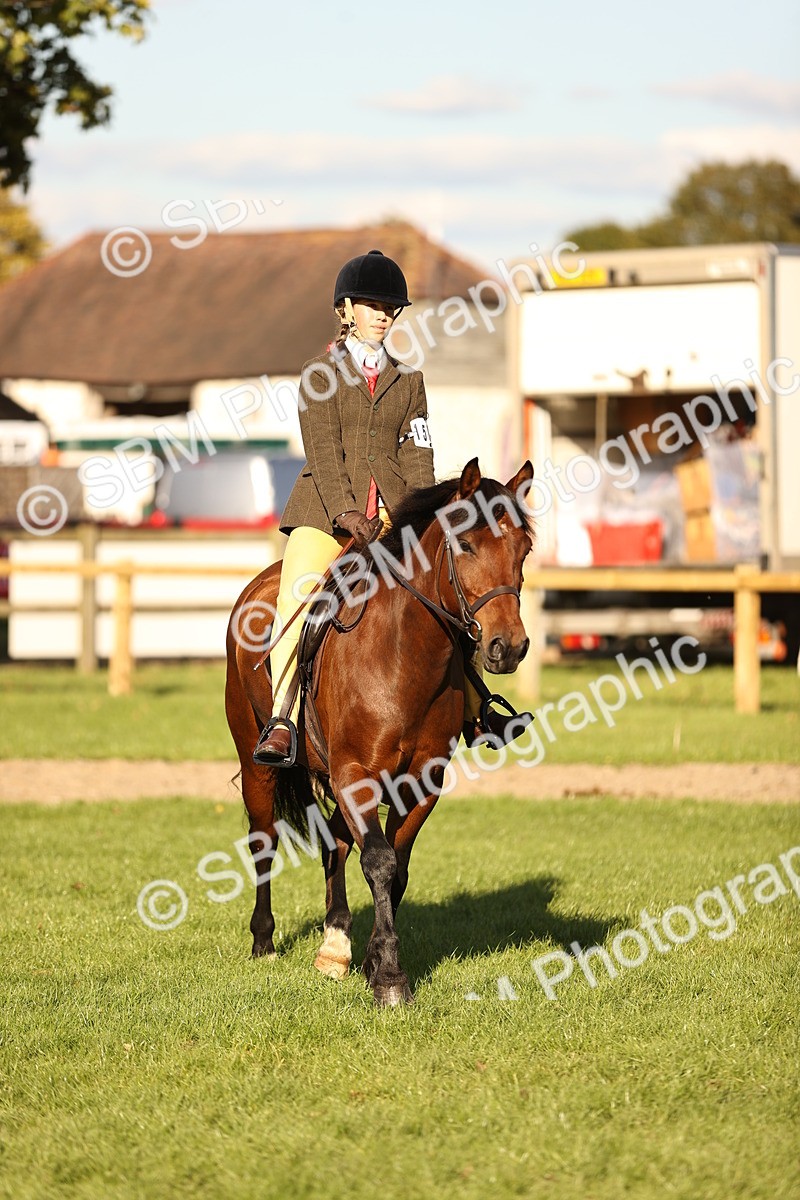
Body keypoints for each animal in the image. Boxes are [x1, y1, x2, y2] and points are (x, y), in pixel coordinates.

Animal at [224, 458, 534, 1006]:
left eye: (524, 550)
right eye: (466, 544)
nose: (508, 647)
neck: (403, 654)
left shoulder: (421, 781)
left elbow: (397, 868)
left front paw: (371, 961)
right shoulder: (356, 773)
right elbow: (380, 861)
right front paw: (389, 977)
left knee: (335, 844)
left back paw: (334, 945)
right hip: (256, 758)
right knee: (264, 839)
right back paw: (264, 941)